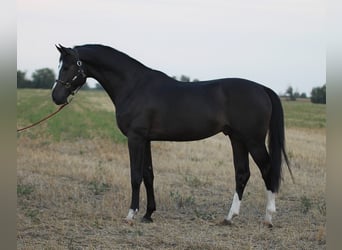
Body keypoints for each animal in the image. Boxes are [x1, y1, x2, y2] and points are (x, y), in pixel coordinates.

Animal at [51, 43, 292, 227]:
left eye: (69, 66)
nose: (56, 97)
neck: (134, 86)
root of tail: (262, 88)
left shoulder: (135, 138)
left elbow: (135, 176)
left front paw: (130, 214)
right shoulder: (146, 140)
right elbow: (148, 175)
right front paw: (148, 214)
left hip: (253, 141)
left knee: (268, 170)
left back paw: (268, 218)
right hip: (237, 139)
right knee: (242, 174)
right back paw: (229, 217)